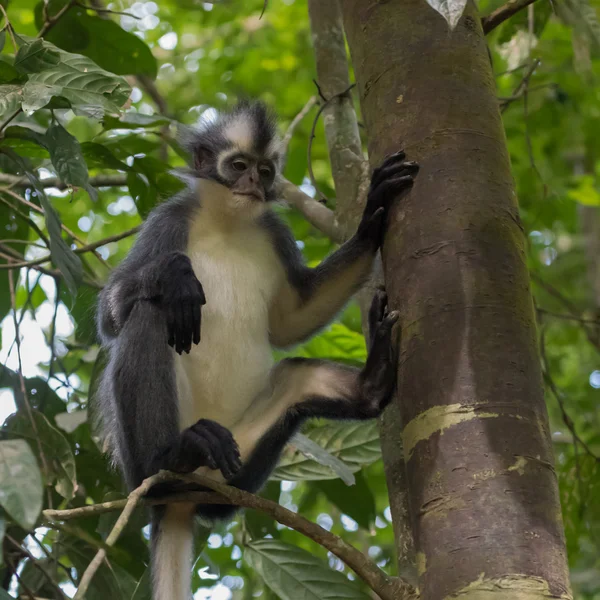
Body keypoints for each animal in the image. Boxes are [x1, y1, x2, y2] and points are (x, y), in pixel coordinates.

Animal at [96, 101, 420, 600]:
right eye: (237, 166)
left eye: (265, 171)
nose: (252, 183)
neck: (229, 224)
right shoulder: (168, 221)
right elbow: (110, 318)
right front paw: (173, 277)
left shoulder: (272, 232)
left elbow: (291, 320)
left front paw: (371, 221)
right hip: (142, 461)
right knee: (150, 315)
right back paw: (171, 455)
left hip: (234, 466)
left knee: (295, 378)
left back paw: (372, 383)